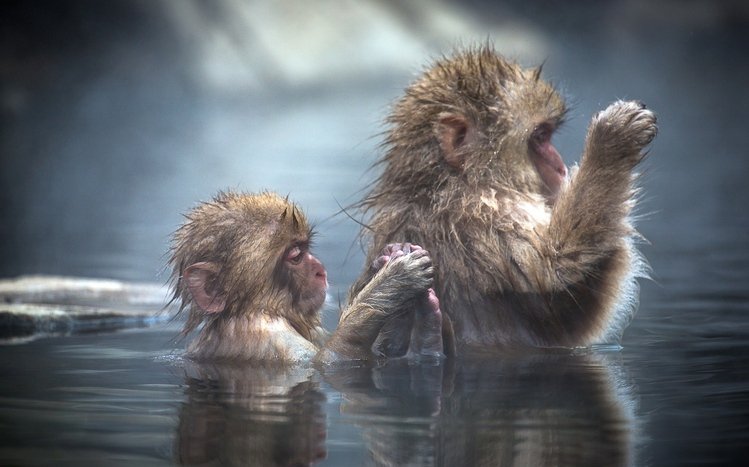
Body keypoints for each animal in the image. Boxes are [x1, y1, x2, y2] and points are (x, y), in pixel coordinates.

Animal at [169, 191, 443, 364]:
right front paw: (395, 280)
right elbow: (330, 362)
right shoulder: (270, 336)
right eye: (296, 256)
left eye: (305, 248)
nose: (320, 270)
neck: (252, 309)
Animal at [350, 45, 658, 354]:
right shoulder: (487, 218)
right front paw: (610, 143)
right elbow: (561, 274)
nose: (559, 169)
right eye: (540, 136)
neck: (442, 185)